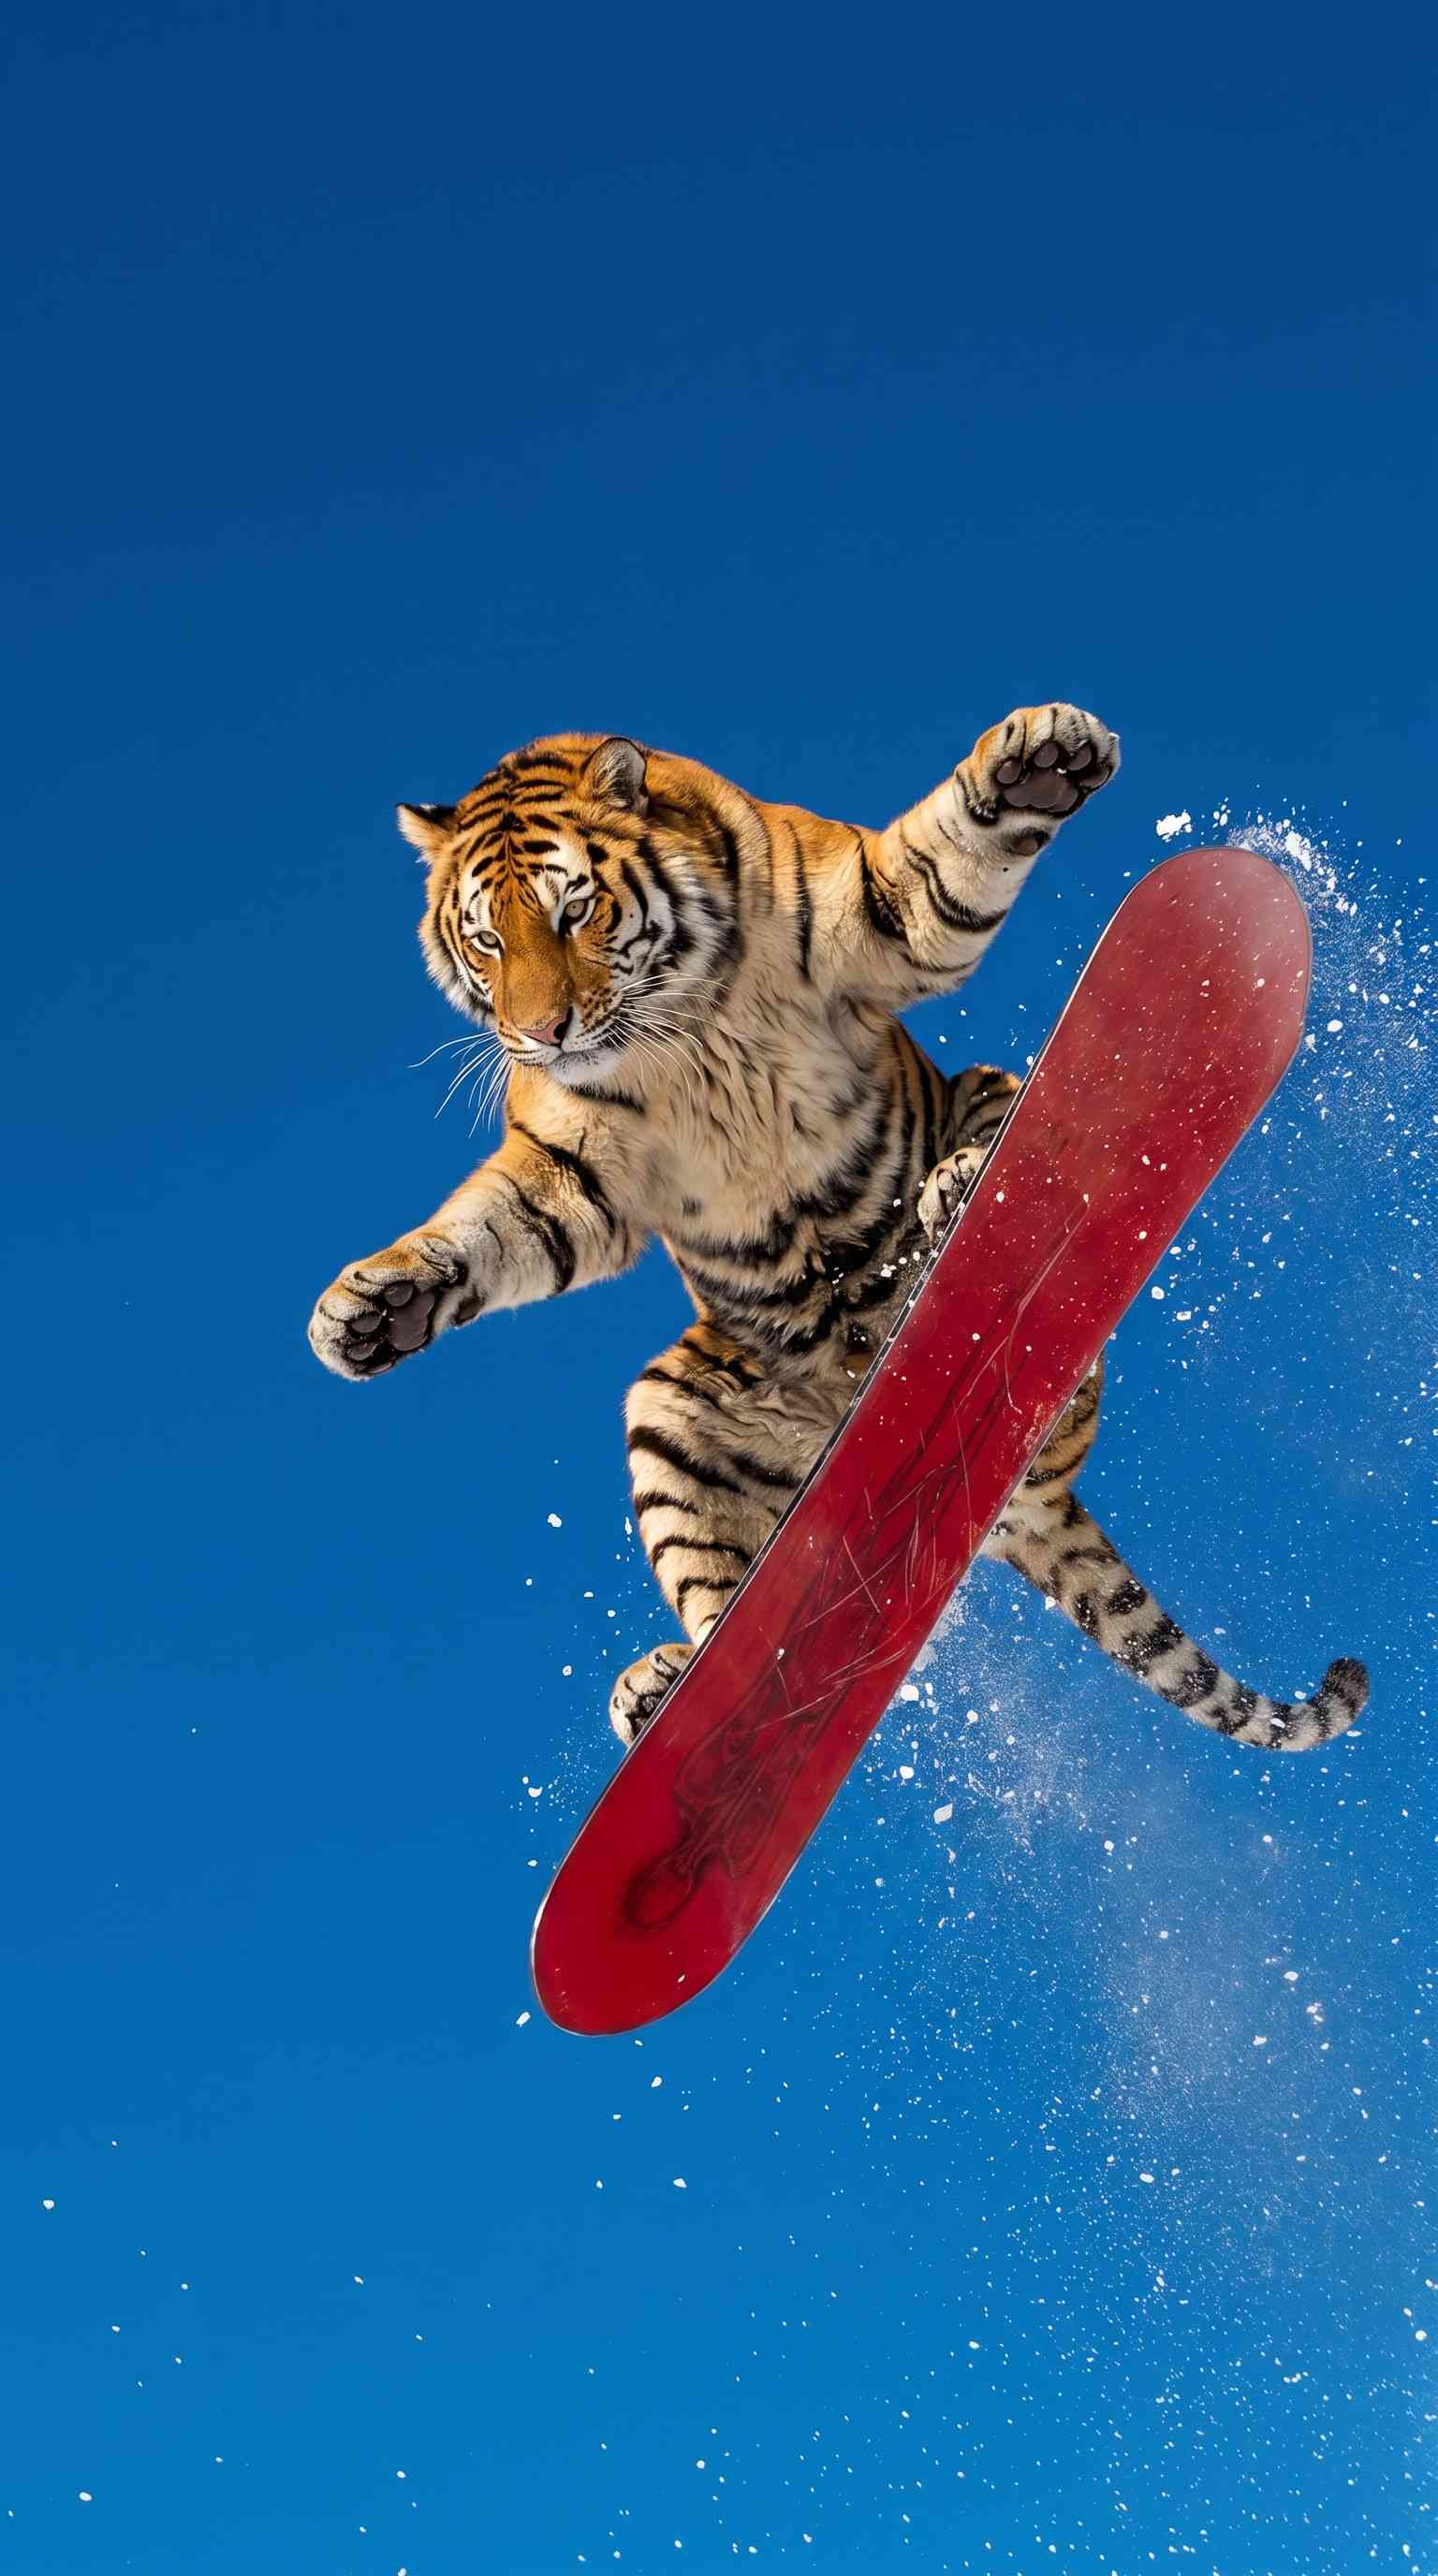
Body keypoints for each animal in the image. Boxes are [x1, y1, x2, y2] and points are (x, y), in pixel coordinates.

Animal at [308, 704, 1368, 1757]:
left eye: (574, 910)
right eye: (487, 941)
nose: (542, 1033)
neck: (680, 1024)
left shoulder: (879, 921)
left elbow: (948, 851)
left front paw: (1039, 758)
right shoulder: (576, 1167)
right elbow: (490, 1228)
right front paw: (370, 1313)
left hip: (995, 1121)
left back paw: (958, 1198)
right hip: (667, 1422)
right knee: (738, 1611)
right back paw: (665, 1690)